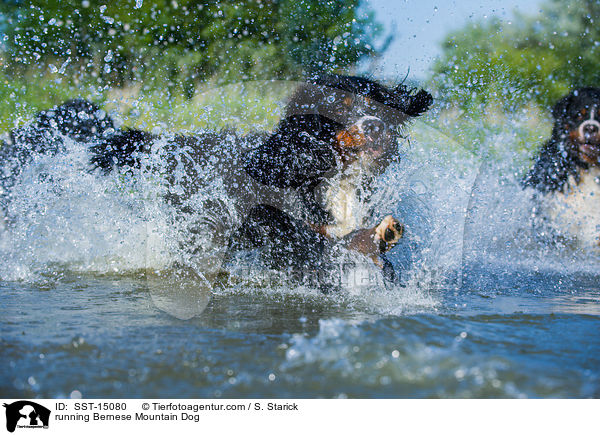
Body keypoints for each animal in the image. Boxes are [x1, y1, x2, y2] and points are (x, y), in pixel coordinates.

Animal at [0, 73, 432, 288]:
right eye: (338, 107)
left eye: (377, 103)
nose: (375, 127)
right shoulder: (265, 218)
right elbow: (308, 242)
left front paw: (380, 241)